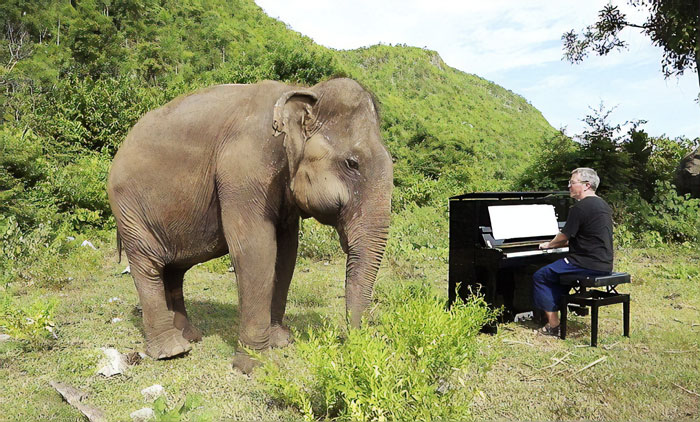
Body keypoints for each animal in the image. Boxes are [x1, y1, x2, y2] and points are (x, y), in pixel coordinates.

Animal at [107, 78, 393, 373]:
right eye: (352, 163)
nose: (351, 342)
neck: (303, 91)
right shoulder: (243, 171)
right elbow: (256, 251)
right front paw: (253, 364)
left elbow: (286, 254)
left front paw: (281, 342)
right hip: (129, 209)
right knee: (148, 266)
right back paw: (173, 351)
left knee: (174, 270)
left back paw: (190, 337)